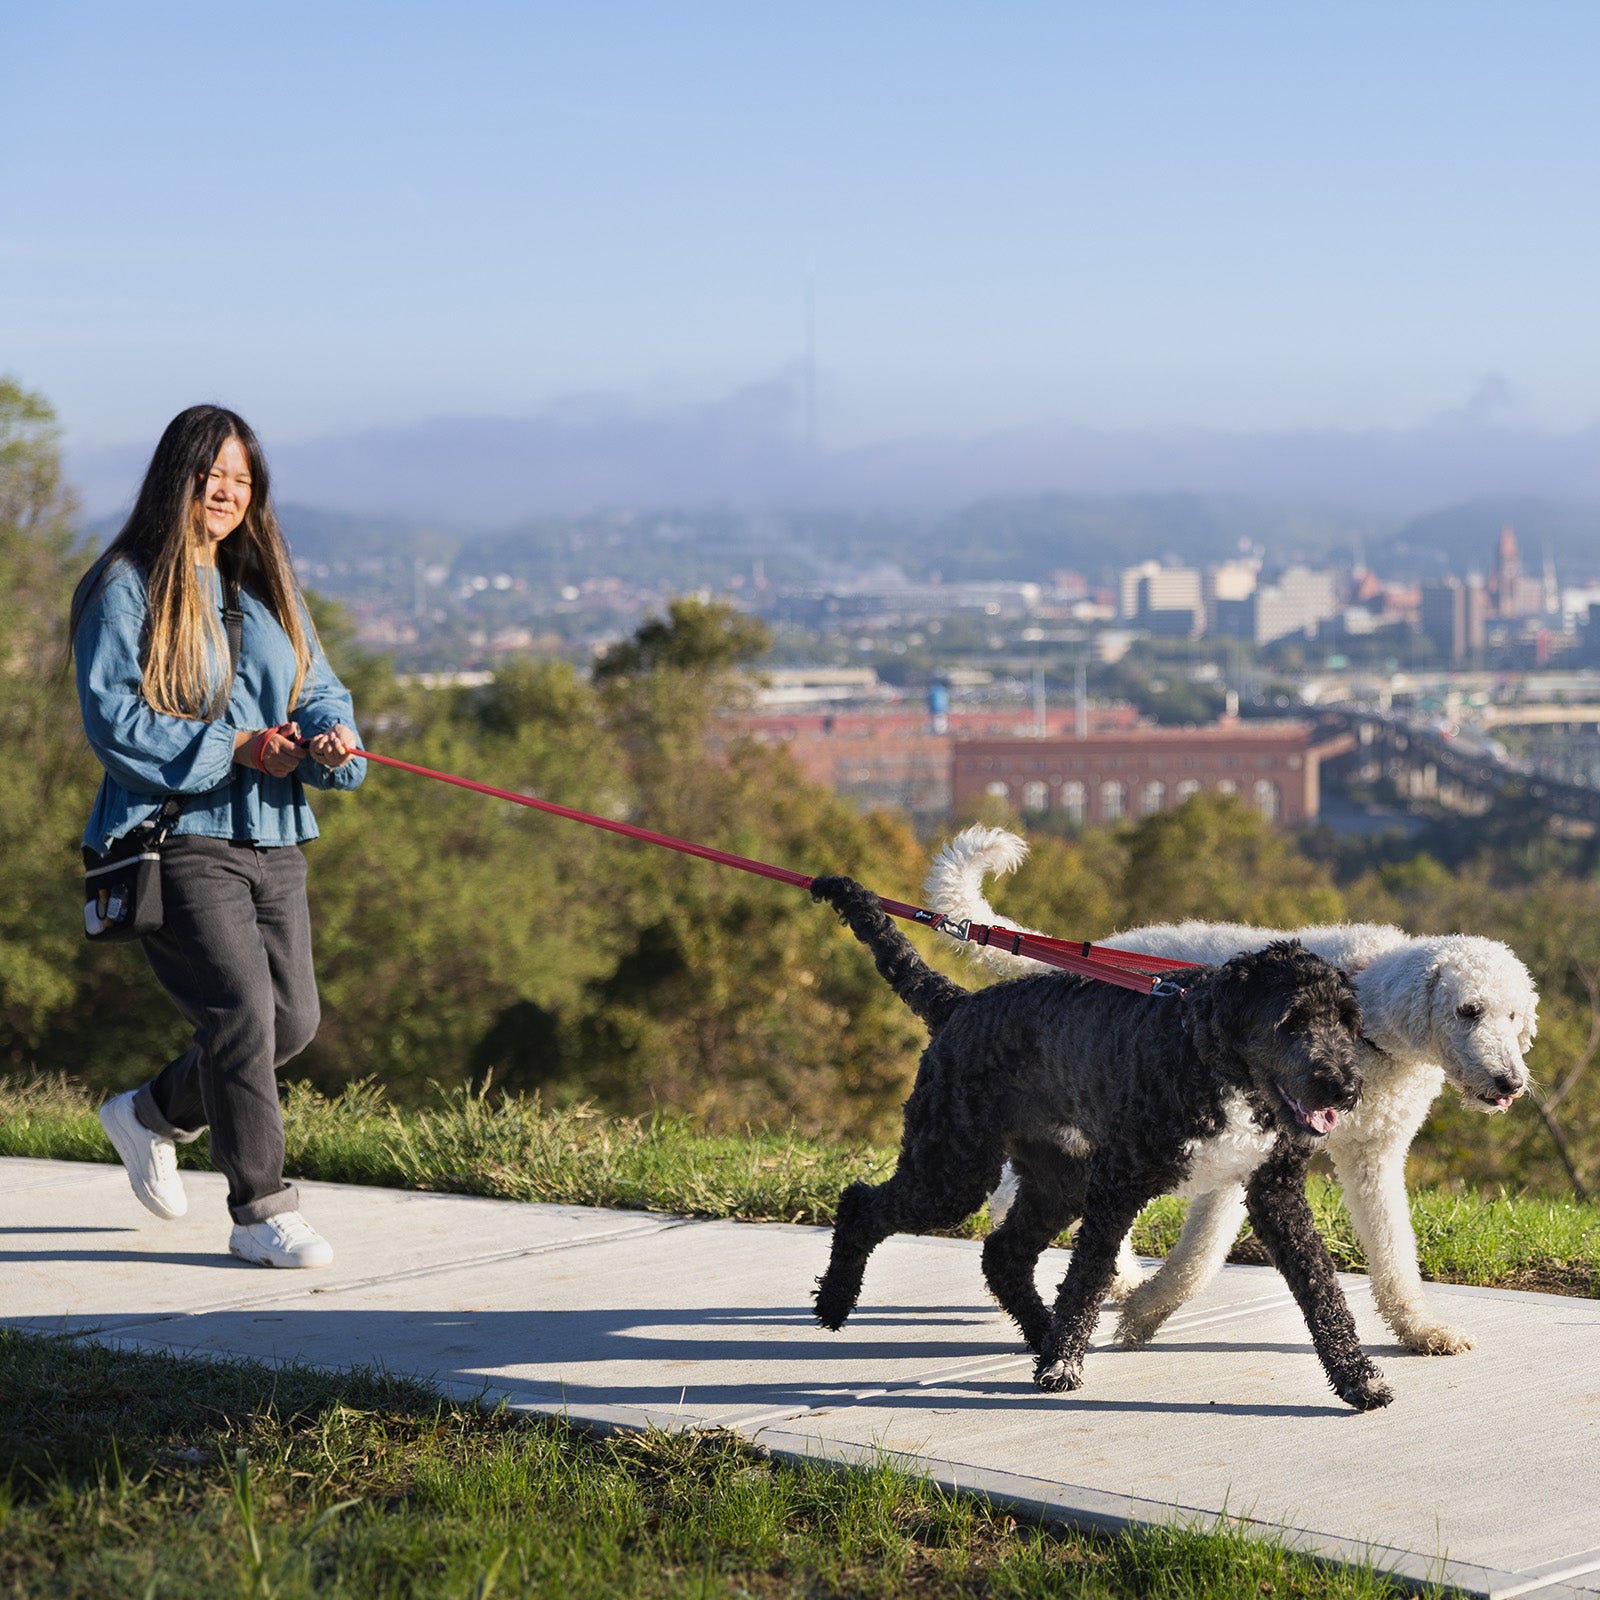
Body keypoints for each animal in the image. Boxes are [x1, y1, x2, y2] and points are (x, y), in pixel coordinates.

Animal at [812, 876, 1388, 1414]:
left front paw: (1357, 1376)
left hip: (1057, 1181)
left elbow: (1319, 1284)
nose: (1345, 1088)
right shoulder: (1117, 1184)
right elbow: (1089, 1272)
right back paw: (836, 1302)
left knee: (1003, 1253)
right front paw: (1064, 1364)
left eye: (1346, 1021)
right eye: (1291, 1020)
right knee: (861, 1203)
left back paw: (1041, 1333)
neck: (1210, 1052)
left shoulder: (1276, 1191)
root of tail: (959, 1004)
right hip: (952, 1170)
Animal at [928, 832, 1536, 1356]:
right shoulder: (1236, 1142)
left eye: (1514, 1016)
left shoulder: (1372, 1155)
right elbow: (1199, 1255)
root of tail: (1089, 953)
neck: (1371, 1025)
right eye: (1468, 1010)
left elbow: (1393, 1249)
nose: (1511, 1083)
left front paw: (1421, 1329)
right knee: (1021, 1193)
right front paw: (1145, 1311)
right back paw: (1119, 1278)